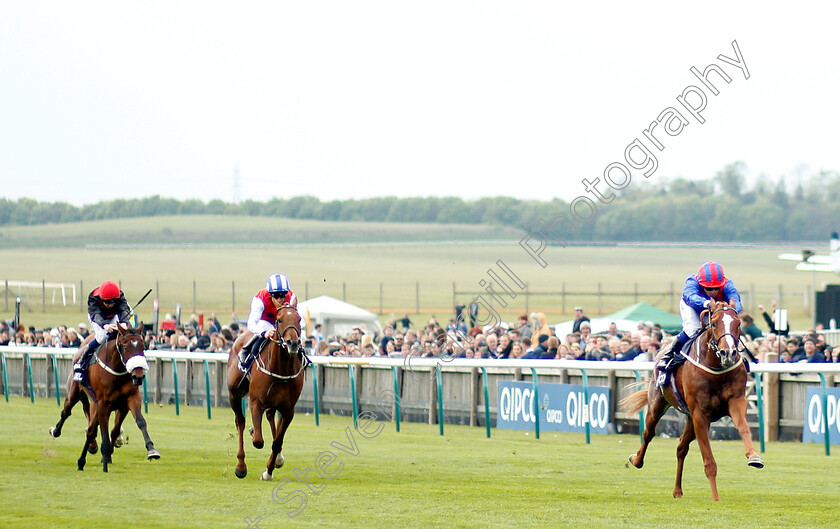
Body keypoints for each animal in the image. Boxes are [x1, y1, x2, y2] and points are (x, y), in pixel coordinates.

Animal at [48, 322, 159, 470]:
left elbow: (136, 423)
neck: (117, 371)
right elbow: (101, 429)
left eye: (143, 346)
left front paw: (151, 450)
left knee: (92, 427)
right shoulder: (103, 403)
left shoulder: (128, 401)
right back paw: (56, 432)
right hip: (75, 394)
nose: (138, 376)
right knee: (66, 412)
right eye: (125, 346)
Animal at [228, 304, 306, 480]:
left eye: (299, 319)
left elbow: (277, 442)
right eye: (279, 319)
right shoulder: (256, 402)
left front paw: (269, 471)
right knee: (240, 421)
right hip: (234, 393)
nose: (292, 343)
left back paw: (278, 458)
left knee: (270, 417)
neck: (280, 369)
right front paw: (253, 432)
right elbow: (258, 440)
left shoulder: (288, 409)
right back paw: (240, 466)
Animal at [624, 302, 760, 500]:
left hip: (689, 419)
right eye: (714, 323)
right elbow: (709, 461)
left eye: (738, 324)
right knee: (648, 433)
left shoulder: (736, 401)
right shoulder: (700, 414)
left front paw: (754, 456)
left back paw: (677, 490)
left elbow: (743, 426)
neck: (716, 368)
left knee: (681, 448)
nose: (728, 353)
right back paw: (636, 460)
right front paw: (716, 499)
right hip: (657, 404)